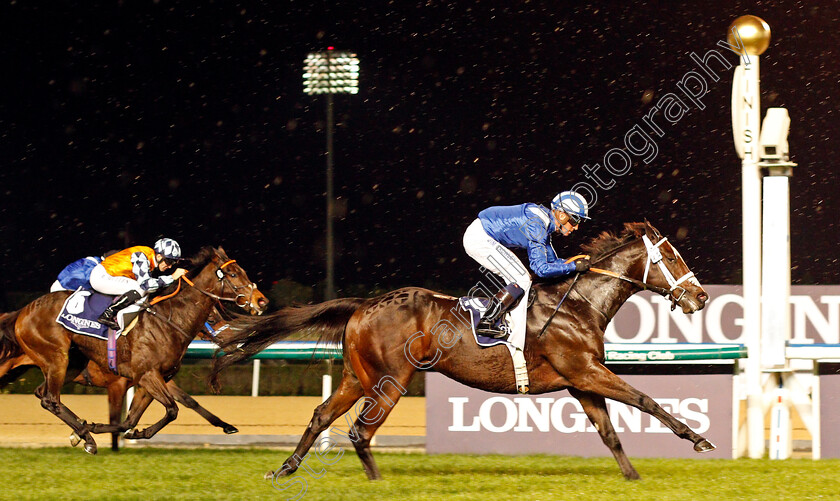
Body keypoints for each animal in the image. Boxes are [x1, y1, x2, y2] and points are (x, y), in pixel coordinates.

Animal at [0, 246, 266, 454]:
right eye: (233, 273)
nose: (261, 301)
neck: (168, 320)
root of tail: (22, 311)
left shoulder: (154, 379)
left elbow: (131, 419)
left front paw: (121, 431)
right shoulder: (145, 375)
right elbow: (171, 410)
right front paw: (94, 431)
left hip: (68, 364)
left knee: (43, 394)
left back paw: (84, 433)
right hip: (56, 358)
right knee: (50, 399)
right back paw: (87, 436)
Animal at [213, 223, 712, 480]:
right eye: (671, 257)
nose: (701, 296)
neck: (578, 303)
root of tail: (364, 304)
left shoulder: (580, 381)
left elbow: (609, 431)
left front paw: (633, 478)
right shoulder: (587, 371)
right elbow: (645, 400)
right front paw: (698, 439)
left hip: (358, 377)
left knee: (322, 416)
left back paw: (285, 469)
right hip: (392, 381)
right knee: (359, 431)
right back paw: (376, 483)